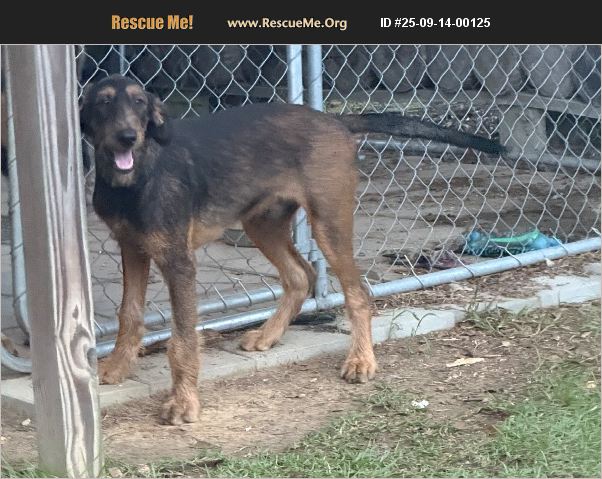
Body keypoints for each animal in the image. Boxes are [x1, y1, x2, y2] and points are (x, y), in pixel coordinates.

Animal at [80, 74, 504, 425]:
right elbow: (129, 312)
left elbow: (182, 341)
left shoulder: (178, 261)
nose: (127, 137)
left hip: (329, 221)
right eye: (103, 102)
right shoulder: (131, 248)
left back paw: (360, 361)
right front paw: (116, 366)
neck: (136, 178)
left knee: (357, 292)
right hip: (262, 223)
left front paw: (184, 402)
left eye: (139, 102)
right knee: (302, 275)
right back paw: (268, 335)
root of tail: (335, 120)